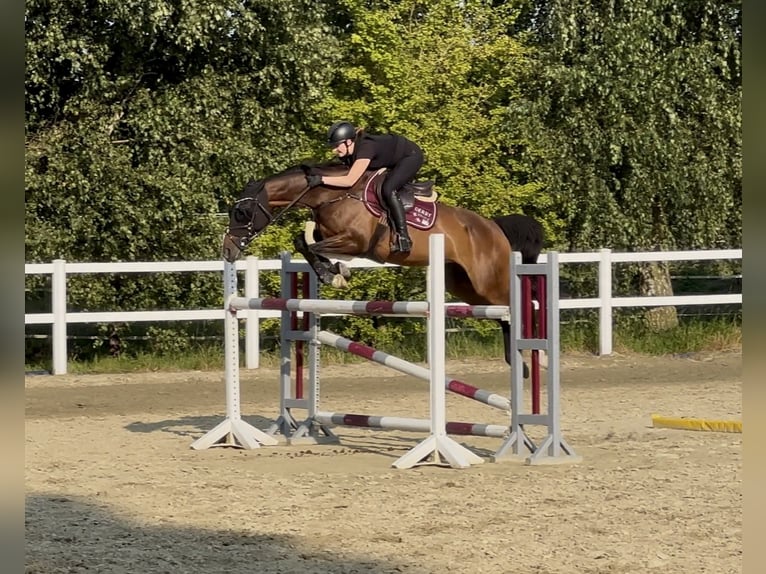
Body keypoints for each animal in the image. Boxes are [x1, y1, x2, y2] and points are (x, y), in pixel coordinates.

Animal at [222, 161, 544, 369]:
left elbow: (311, 246)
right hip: (464, 286)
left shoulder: (356, 241)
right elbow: (304, 241)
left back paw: (533, 355)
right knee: (502, 315)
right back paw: (519, 365)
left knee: (516, 304)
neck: (331, 194)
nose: (227, 250)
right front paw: (334, 272)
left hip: (487, 281)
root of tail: (494, 227)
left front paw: (335, 273)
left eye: (242, 212)